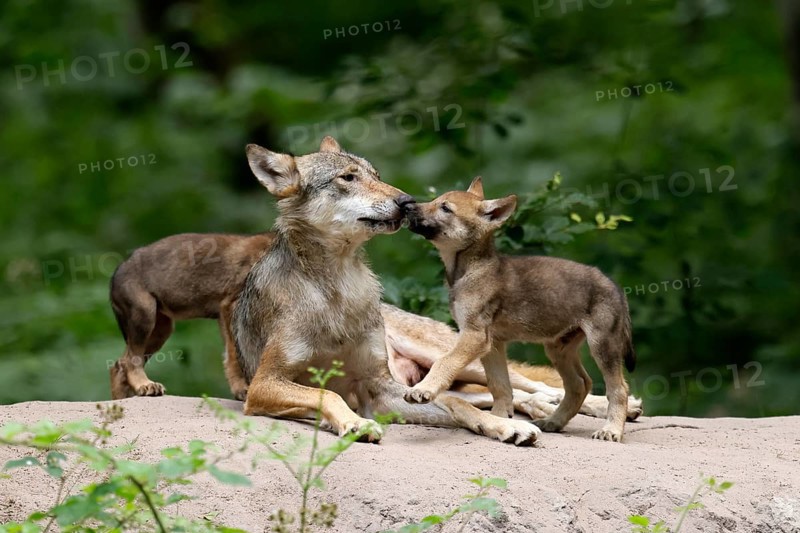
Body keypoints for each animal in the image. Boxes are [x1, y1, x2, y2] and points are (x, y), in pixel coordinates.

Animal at [403, 176, 637, 442]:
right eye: (435, 200)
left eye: (445, 208)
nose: (407, 206)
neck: (470, 270)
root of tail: (616, 287)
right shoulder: (492, 344)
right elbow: (500, 386)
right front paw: (501, 419)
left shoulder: (474, 336)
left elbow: (445, 362)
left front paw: (423, 389)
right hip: (558, 348)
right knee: (580, 384)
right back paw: (553, 421)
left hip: (602, 346)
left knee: (618, 389)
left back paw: (611, 430)